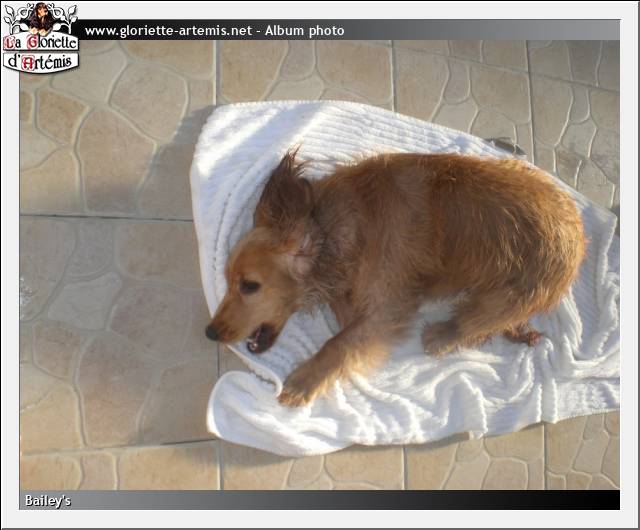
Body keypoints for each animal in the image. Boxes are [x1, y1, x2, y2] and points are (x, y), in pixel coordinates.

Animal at [205, 150, 586, 407]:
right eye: (228, 278)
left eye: (250, 286)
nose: (210, 333)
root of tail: (579, 234)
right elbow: (346, 319)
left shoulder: (389, 304)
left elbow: (339, 342)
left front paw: (305, 381)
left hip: (505, 296)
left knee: (474, 324)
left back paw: (443, 335)